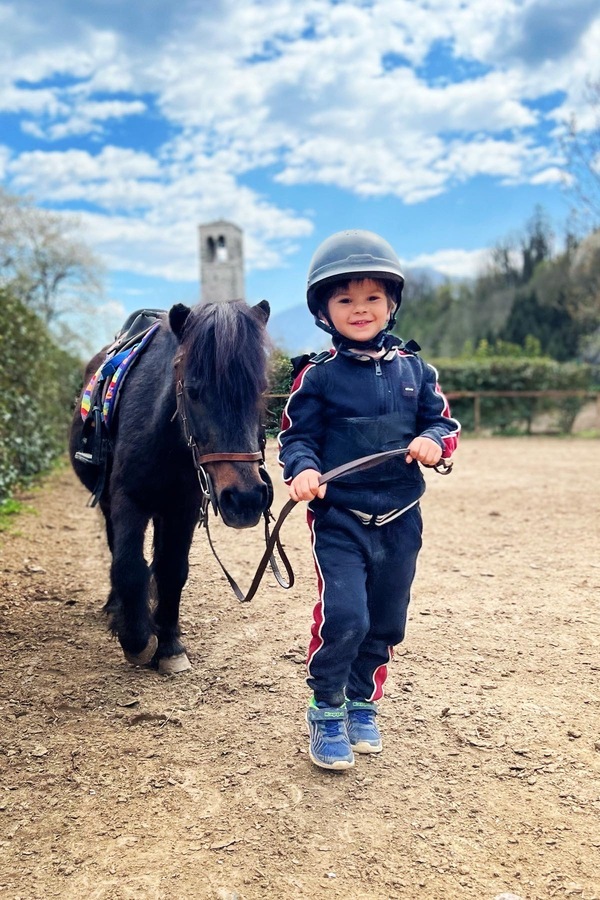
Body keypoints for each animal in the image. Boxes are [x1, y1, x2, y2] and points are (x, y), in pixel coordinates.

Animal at [69, 299, 271, 674]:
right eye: (193, 391)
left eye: (262, 389)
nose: (246, 499)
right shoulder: (129, 500)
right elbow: (129, 567)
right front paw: (136, 639)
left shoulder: (183, 508)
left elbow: (172, 570)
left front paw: (169, 645)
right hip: (109, 503)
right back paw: (116, 607)